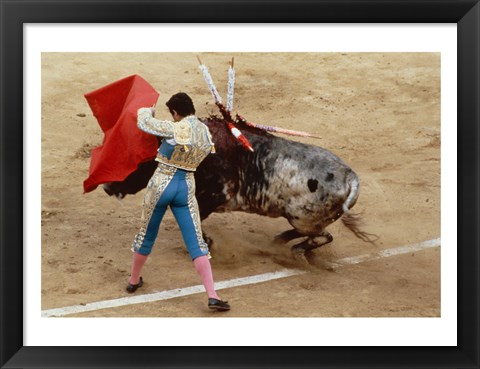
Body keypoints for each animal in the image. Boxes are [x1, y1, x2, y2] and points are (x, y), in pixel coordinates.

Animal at [104, 115, 376, 262]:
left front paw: (207, 242)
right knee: (315, 235)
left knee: (322, 236)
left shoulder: (212, 197)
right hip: (305, 219)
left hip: (303, 219)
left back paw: (293, 250)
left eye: (137, 161)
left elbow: (194, 219)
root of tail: (350, 177)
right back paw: (280, 241)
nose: (107, 186)